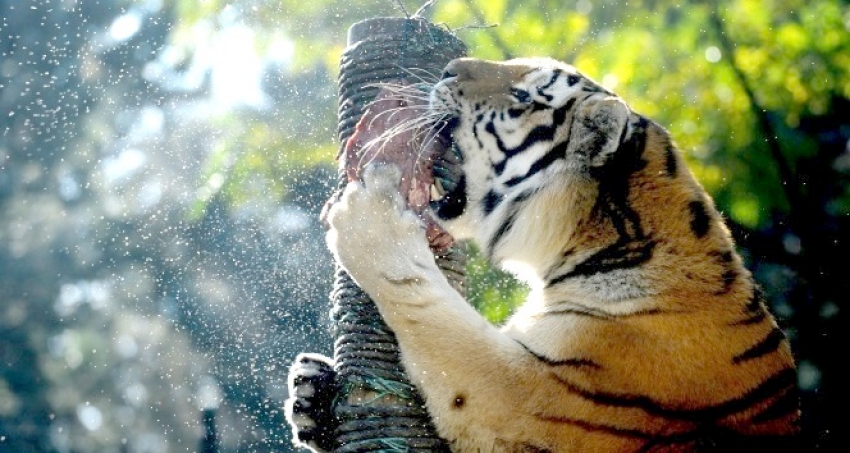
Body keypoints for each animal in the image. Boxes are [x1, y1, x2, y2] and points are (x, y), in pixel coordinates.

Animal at [286, 58, 800, 450]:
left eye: (524, 96)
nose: (448, 68)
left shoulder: (522, 396)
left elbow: (432, 310)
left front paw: (370, 214)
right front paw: (312, 393)